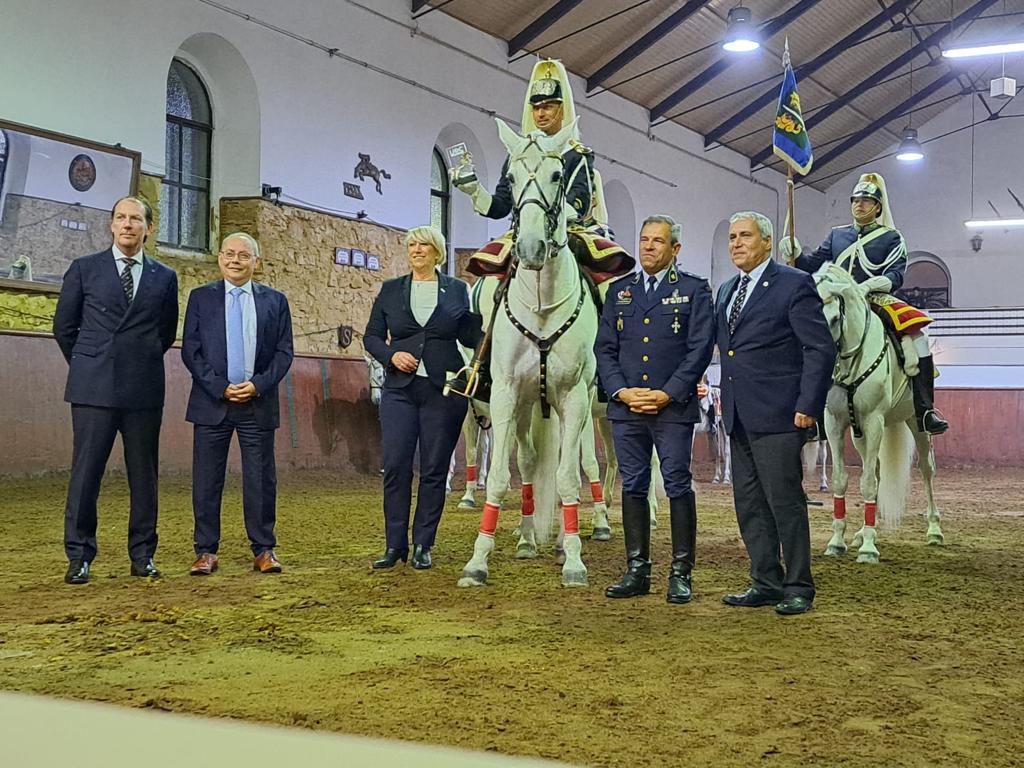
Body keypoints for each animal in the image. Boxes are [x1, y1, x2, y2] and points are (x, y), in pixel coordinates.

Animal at [458, 118, 598, 589]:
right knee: (529, 459)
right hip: (522, 406)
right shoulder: (503, 394)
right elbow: (502, 477)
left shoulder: (573, 397)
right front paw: (478, 561)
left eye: (558, 175)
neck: (541, 304)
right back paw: (525, 536)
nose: (532, 248)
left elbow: (568, 477)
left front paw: (573, 562)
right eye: (512, 179)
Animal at [806, 266, 942, 565]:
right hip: (861, 435)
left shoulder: (874, 421)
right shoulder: (835, 424)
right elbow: (842, 479)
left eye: (835, 318)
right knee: (877, 470)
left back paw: (934, 530)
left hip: (916, 423)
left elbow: (867, 482)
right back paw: (865, 530)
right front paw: (838, 541)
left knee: (926, 469)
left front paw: (869, 549)